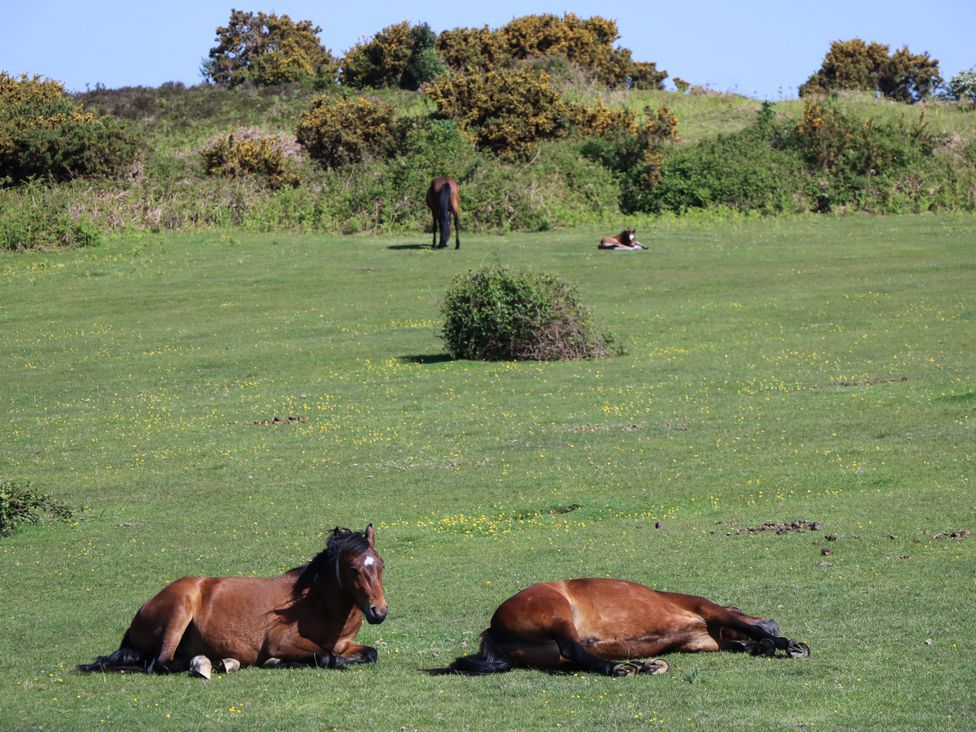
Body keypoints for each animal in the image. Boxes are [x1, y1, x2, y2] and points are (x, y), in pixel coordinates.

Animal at [77, 526, 387, 675]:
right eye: (354, 569)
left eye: (381, 565)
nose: (379, 612)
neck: (319, 604)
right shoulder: (280, 641)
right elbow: (325, 656)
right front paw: (276, 662)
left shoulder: (345, 644)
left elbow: (369, 653)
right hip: (179, 610)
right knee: (161, 663)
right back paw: (213, 664)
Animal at [441, 578, 809, 677]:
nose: (773, 620)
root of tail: (493, 630)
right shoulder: (707, 609)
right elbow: (751, 629)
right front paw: (787, 643)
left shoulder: (703, 641)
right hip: (556, 615)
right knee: (574, 649)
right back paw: (622, 668)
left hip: (550, 654)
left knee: (574, 659)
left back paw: (642, 665)